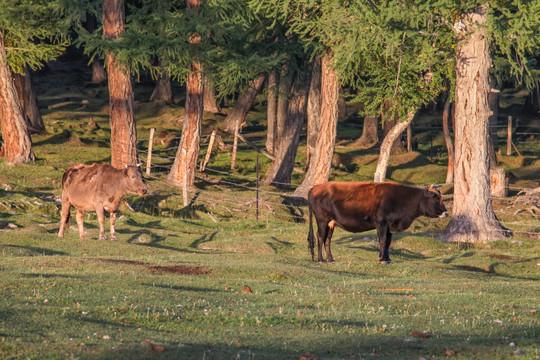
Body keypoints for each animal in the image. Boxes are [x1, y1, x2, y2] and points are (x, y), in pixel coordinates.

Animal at [308, 183, 448, 264]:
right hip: (322, 219)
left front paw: (388, 259)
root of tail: (316, 187)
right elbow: (382, 241)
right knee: (320, 237)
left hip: (331, 222)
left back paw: (331, 259)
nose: (446, 212)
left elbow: (388, 243)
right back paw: (321, 260)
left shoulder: (390, 225)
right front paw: (382, 259)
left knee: (328, 239)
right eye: (435, 198)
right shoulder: (382, 223)